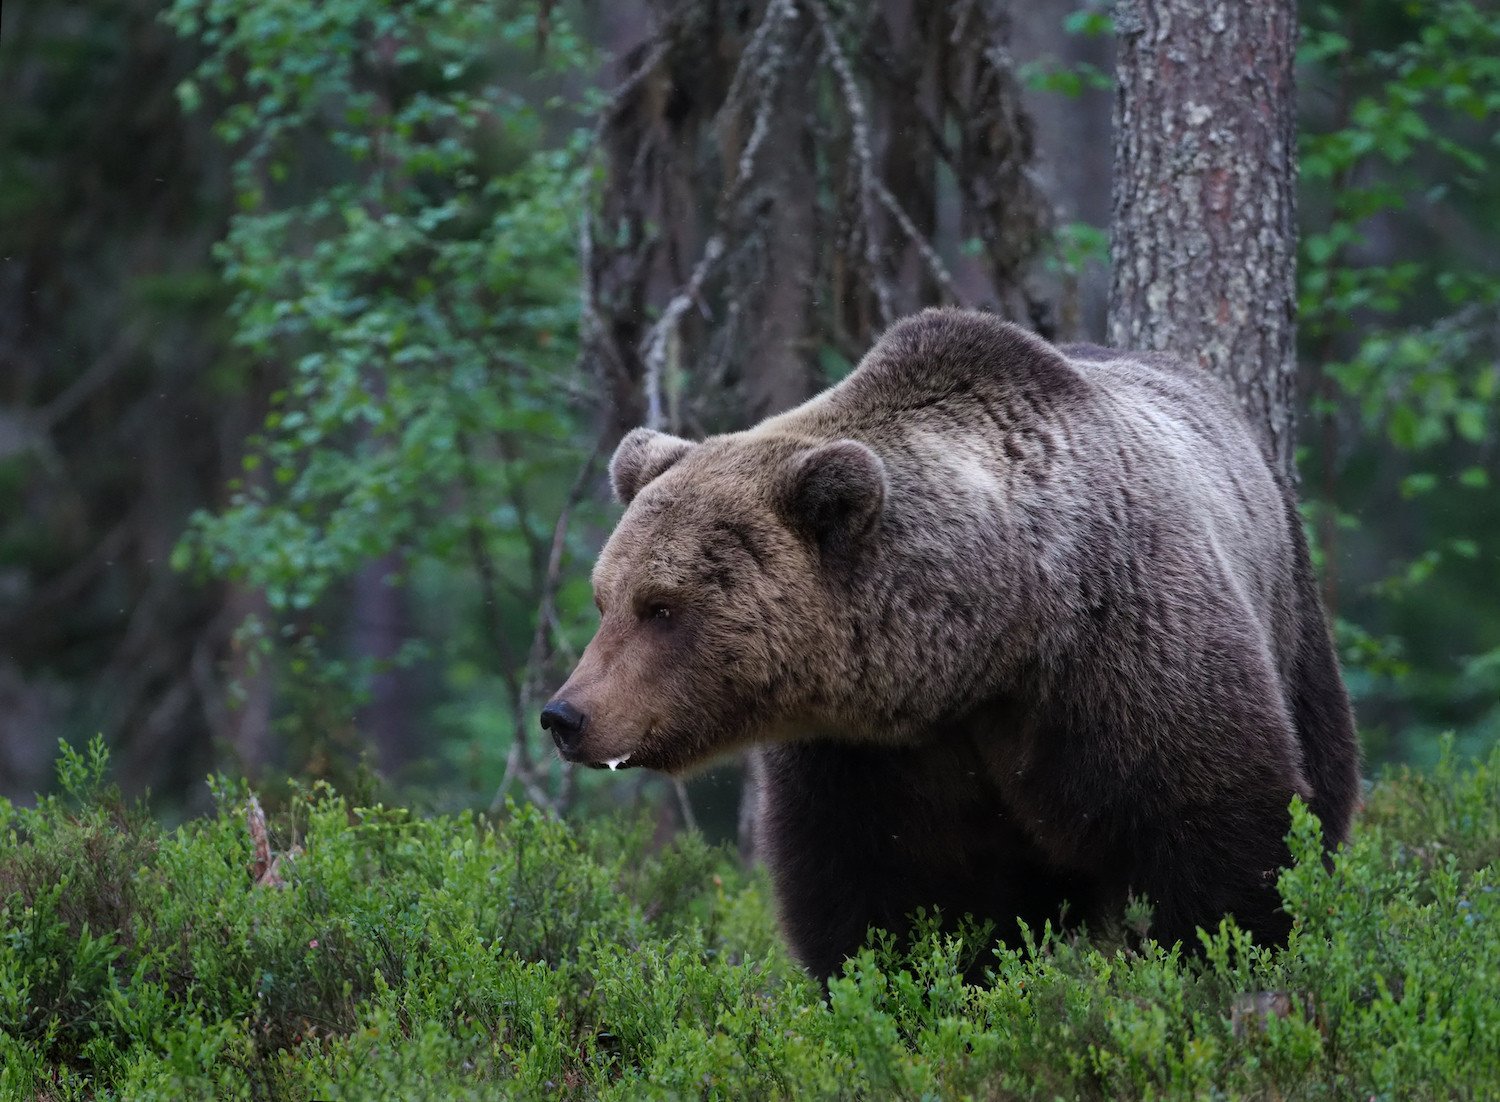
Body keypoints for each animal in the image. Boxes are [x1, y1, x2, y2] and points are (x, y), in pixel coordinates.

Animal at [540, 308, 1362, 971]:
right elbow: (872, 895)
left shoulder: (1122, 657)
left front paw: (1225, 961)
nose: (564, 715)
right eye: (605, 599)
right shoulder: (869, 757)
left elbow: (1218, 838)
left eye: (663, 606)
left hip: (1294, 616)